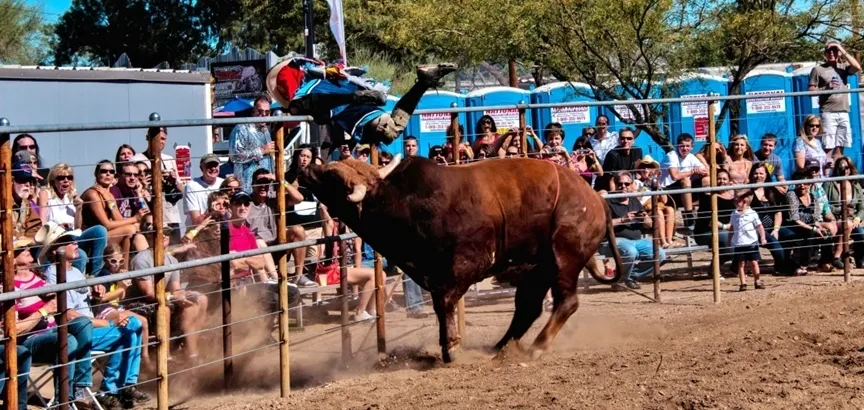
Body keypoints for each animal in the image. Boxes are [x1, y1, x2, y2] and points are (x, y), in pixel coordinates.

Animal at [300, 154, 624, 362]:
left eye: (331, 177)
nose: (308, 168)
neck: (404, 202)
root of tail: (596, 200)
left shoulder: (464, 266)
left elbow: (445, 303)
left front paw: (450, 347)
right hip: (539, 268)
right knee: (528, 308)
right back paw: (500, 347)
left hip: (564, 257)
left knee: (566, 302)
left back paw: (537, 347)